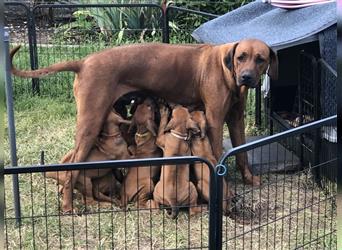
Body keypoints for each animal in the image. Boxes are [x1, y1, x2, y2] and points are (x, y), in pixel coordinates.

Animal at [10, 39, 278, 213]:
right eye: (241, 57)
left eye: (260, 59)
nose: (246, 77)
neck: (226, 68)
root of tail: (83, 61)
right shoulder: (213, 120)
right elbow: (217, 156)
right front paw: (224, 190)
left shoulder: (236, 118)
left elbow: (242, 153)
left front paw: (248, 179)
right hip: (90, 122)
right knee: (71, 168)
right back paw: (67, 205)